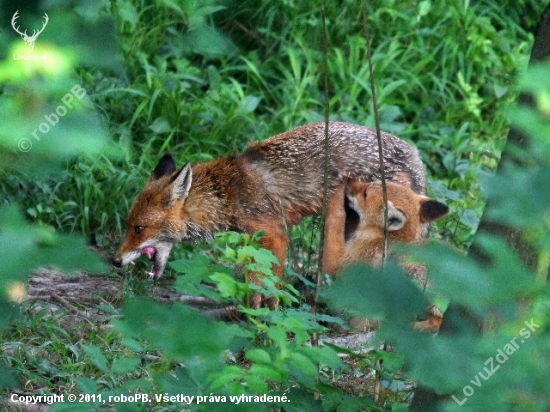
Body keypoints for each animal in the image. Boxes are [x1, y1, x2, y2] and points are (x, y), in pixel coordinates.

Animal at [114, 120, 430, 308]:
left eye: (138, 229)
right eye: (128, 225)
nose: (115, 261)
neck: (226, 194)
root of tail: (416, 154)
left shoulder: (274, 236)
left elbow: (266, 287)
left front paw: (261, 322)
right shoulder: (251, 240)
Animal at [324, 179, 448, 330]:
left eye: (365, 193)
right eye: (370, 182)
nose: (349, 181)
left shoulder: (341, 262)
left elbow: (335, 220)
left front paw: (334, 194)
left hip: (408, 269)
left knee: (436, 322)